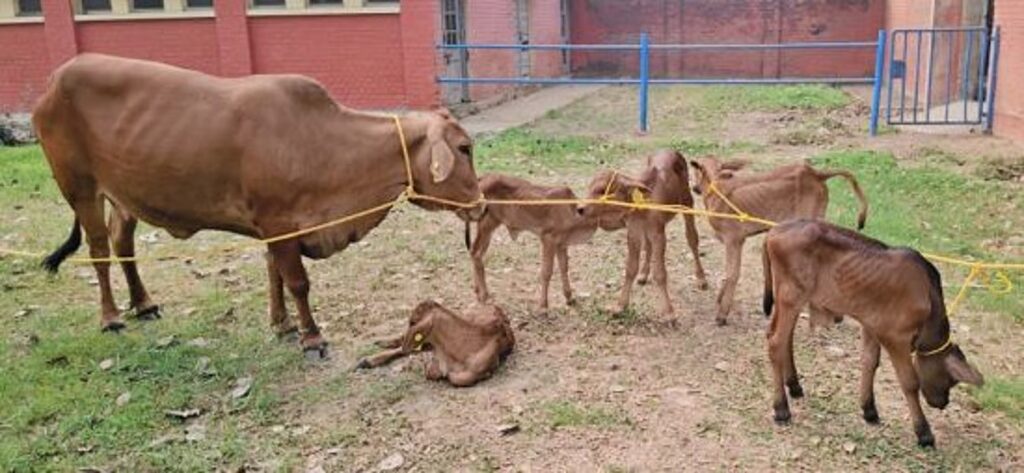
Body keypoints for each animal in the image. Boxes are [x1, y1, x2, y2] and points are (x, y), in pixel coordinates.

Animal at [32, 54, 483, 358]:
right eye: (464, 148)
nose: (480, 204)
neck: (324, 143)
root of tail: (55, 78)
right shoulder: (279, 222)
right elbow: (297, 281)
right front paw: (311, 336)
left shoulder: (273, 229)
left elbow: (274, 275)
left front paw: (282, 324)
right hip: (80, 188)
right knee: (99, 251)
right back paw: (111, 317)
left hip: (124, 195)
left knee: (122, 243)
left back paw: (143, 304)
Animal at [468, 174, 598, 314]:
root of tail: (483, 178)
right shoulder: (548, 239)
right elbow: (546, 271)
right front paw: (543, 304)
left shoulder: (561, 244)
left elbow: (564, 268)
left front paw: (569, 298)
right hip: (488, 223)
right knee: (476, 253)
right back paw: (484, 295)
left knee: (475, 252)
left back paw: (477, 291)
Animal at [577, 149, 708, 319]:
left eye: (603, 190)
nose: (580, 208)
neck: (641, 205)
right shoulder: (633, 233)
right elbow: (630, 268)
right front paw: (620, 305)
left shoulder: (658, 234)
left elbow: (660, 273)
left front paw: (668, 312)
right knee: (648, 245)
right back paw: (644, 274)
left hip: (687, 201)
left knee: (692, 238)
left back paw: (701, 278)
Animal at [689, 157, 869, 326]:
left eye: (696, 168)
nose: (695, 188)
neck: (716, 187)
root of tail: (815, 173)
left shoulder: (734, 238)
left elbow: (732, 274)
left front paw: (722, 314)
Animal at [763, 219, 984, 447]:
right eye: (951, 379)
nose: (943, 403)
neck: (928, 298)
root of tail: (775, 231)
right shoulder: (895, 337)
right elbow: (910, 382)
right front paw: (924, 432)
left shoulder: (871, 325)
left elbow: (870, 362)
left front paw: (869, 410)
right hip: (791, 296)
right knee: (776, 342)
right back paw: (781, 408)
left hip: (789, 300)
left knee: (782, 338)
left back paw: (794, 386)